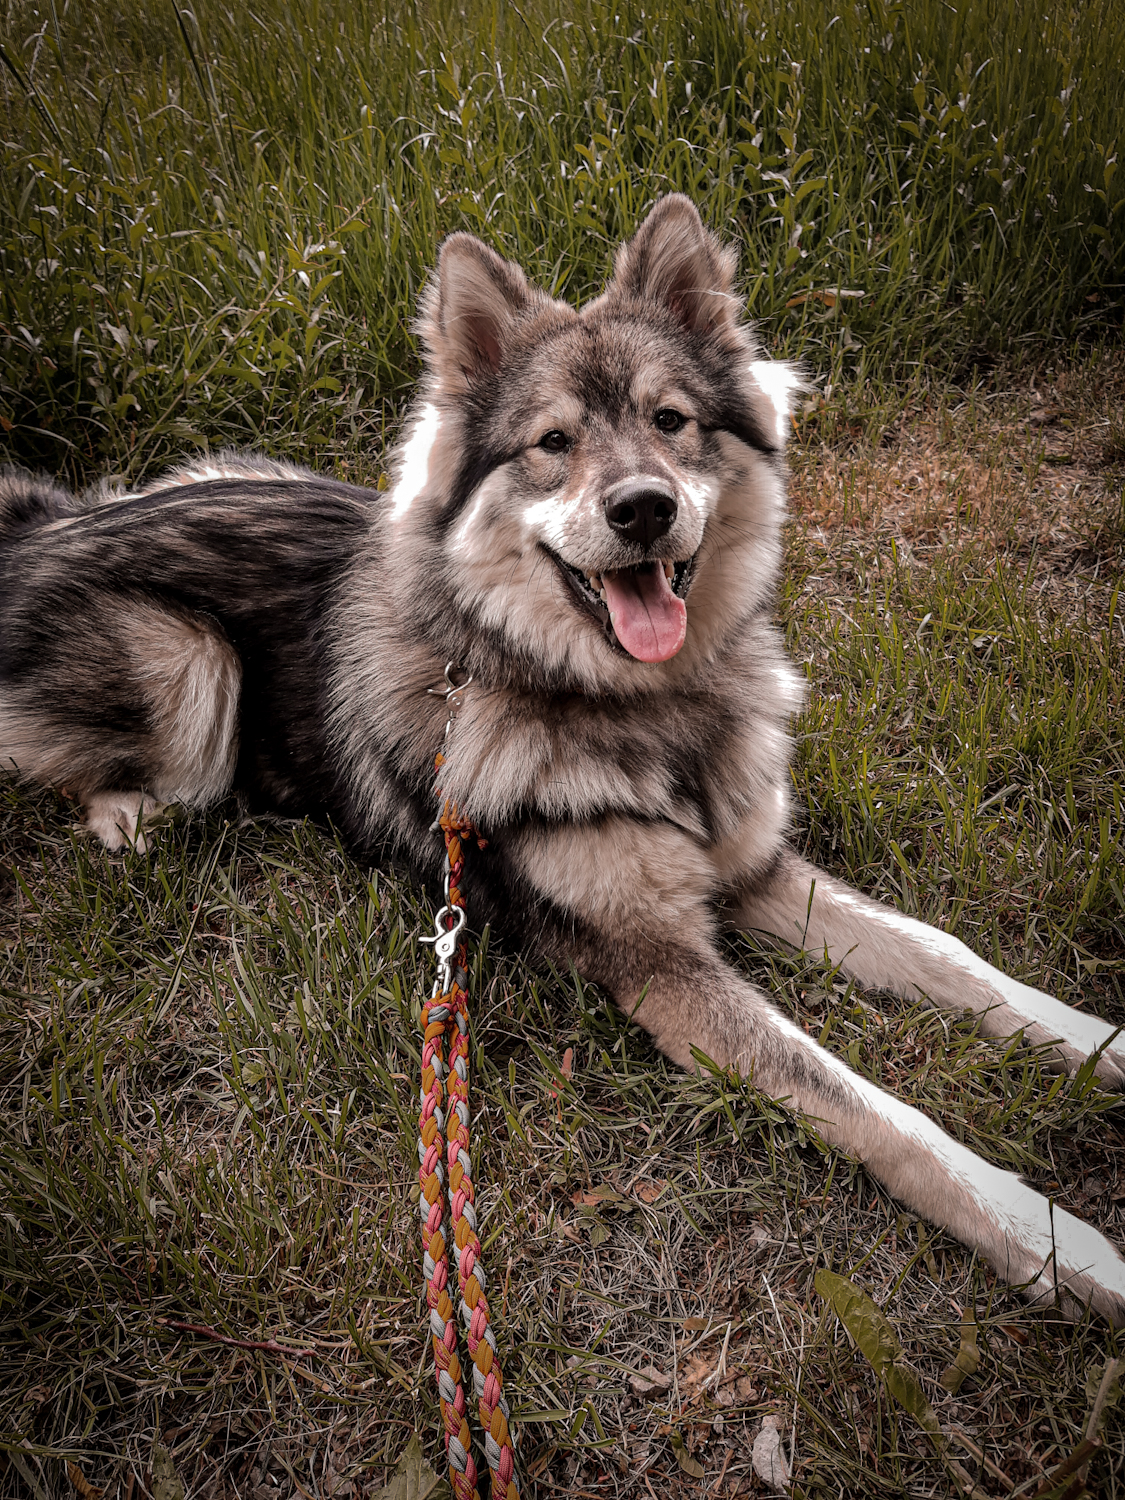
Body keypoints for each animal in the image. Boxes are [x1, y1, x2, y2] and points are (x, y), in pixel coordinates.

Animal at [2, 194, 1124, 1320]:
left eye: (671, 422)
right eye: (552, 443)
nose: (643, 508)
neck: (641, 708)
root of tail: (42, 531)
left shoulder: (757, 870)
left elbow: (950, 956)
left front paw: (1101, 1050)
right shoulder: (660, 963)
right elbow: (869, 1106)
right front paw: (1061, 1246)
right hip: (190, 667)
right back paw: (127, 815)